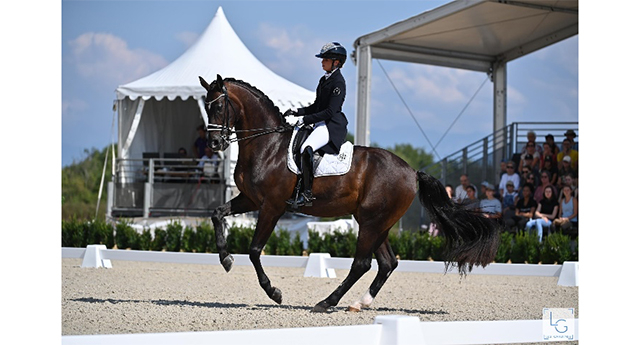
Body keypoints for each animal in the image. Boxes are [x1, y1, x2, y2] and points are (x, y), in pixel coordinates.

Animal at [199, 75, 500, 312]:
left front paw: (274, 292)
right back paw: (359, 303)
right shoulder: (250, 199)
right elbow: (216, 214)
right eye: (206, 106)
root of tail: (412, 171)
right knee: (387, 263)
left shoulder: (272, 206)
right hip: (377, 223)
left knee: (362, 263)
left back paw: (326, 302)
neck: (268, 145)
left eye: (220, 106)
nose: (214, 143)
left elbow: (254, 250)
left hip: (371, 222)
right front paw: (225, 259)